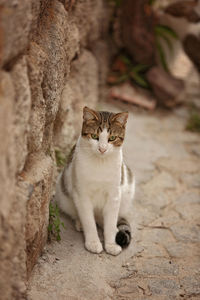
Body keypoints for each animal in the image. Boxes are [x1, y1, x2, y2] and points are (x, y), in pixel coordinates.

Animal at [55, 106, 135, 254]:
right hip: (63, 194)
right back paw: (80, 223)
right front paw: (93, 242)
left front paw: (111, 244)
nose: (102, 149)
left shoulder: (114, 195)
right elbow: (89, 221)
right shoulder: (82, 195)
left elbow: (110, 222)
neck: (100, 163)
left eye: (112, 138)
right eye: (94, 136)